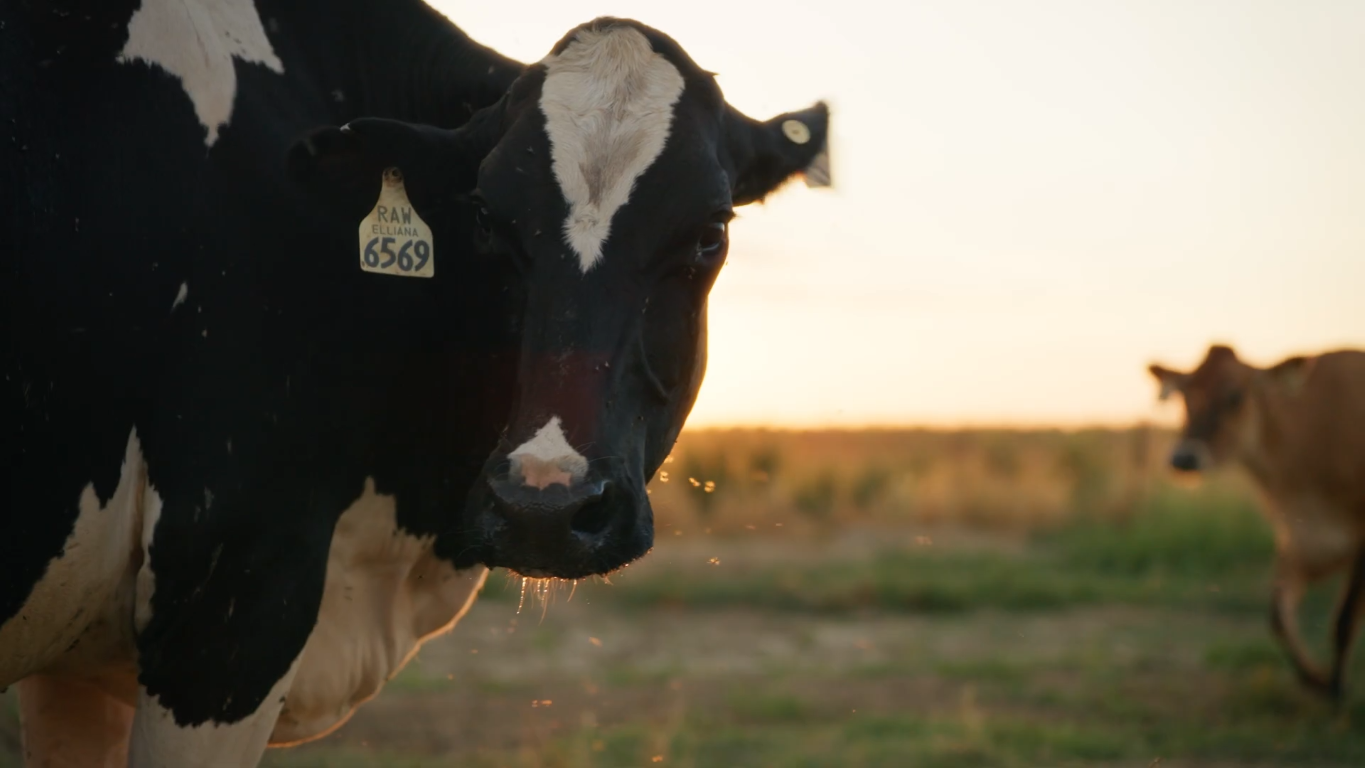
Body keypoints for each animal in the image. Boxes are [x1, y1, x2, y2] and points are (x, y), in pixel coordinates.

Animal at [1149, 344, 1365, 701]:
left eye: (1235, 396)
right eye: (1186, 395)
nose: (1184, 457)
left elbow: (1344, 620)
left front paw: (1337, 692)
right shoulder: (1299, 541)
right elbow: (1278, 615)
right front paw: (1317, 679)